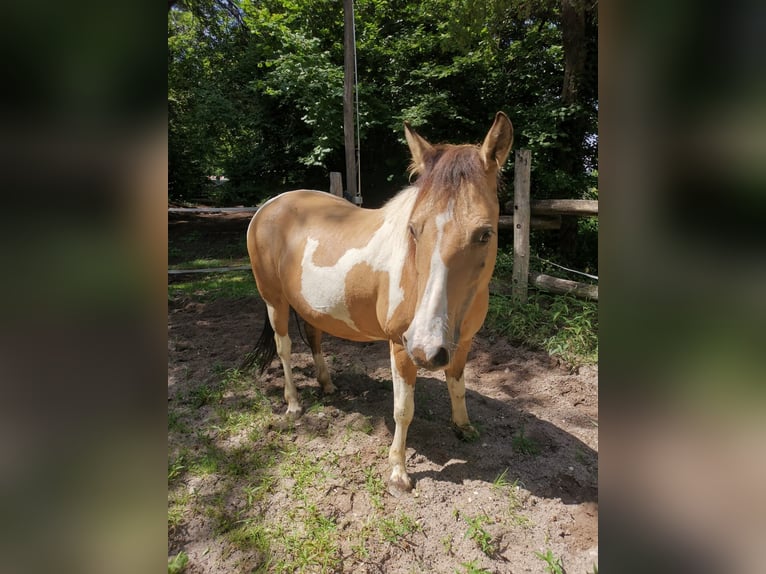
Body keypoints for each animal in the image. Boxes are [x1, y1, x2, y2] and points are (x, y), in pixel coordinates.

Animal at [243, 112, 512, 496]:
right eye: (414, 229)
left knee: (314, 338)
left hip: (309, 306)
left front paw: (463, 427)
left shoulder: (462, 343)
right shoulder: (401, 347)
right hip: (274, 300)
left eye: (485, 233)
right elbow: (404, 409)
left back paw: (327, 385)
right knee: (284, 348)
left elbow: (457, 384)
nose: (426, 346)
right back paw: (293, 404)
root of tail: (269, 205)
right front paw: (398, 472)